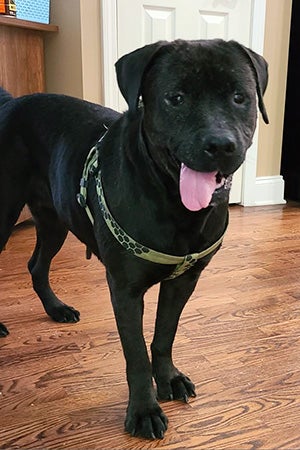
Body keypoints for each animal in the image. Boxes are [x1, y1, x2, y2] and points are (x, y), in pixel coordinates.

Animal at [0, 39, 268, 440]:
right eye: (176, 98)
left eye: (240, 97)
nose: (221, 144)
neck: (174, 203)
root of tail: (11, 103)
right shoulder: (125, 290)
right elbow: (137, 353)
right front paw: (144, 411)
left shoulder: (184, 282)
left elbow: (164, 335)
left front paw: (168, 378)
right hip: (4, 214)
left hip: (53, 220)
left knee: (36, 265)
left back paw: (56, 308)